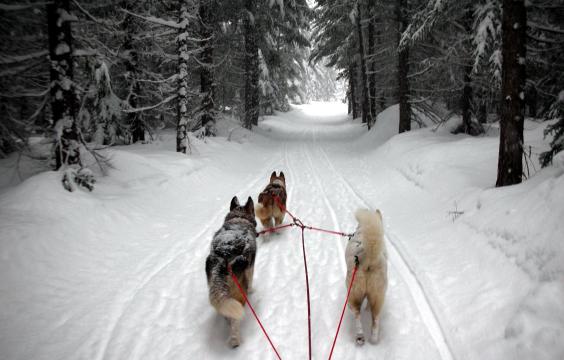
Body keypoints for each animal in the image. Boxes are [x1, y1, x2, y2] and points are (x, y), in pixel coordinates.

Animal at [344, 210, 388, 344]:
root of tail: (369, 260)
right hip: (377, 295)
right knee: (376, 319)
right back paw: (373, 339)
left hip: (353, 293)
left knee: (357, 313)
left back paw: (359, 335)